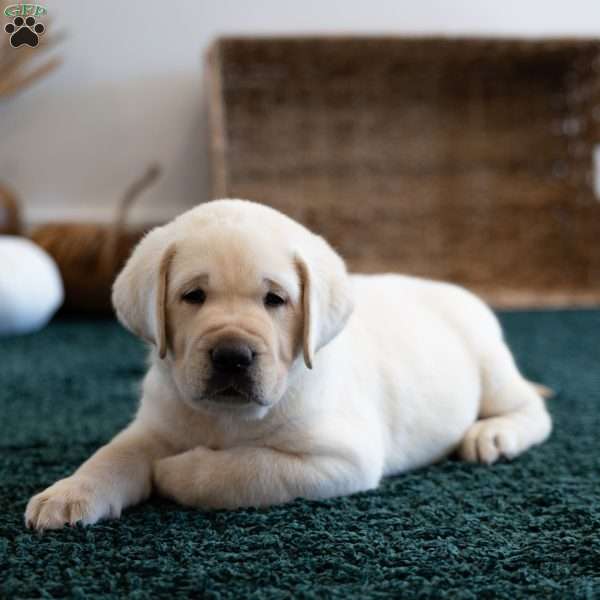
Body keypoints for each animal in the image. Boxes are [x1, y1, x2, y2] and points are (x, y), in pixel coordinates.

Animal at [25, 200, 552, 528]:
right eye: (193, 296)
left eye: (275, 299)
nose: (232, 356)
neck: (227, 418)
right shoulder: (153, 426)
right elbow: (112, 456)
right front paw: (68, 493)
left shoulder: (341, 458)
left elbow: (245, 469)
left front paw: (174, 473)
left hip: (490, 363)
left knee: (534, 410)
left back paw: (493, 434)